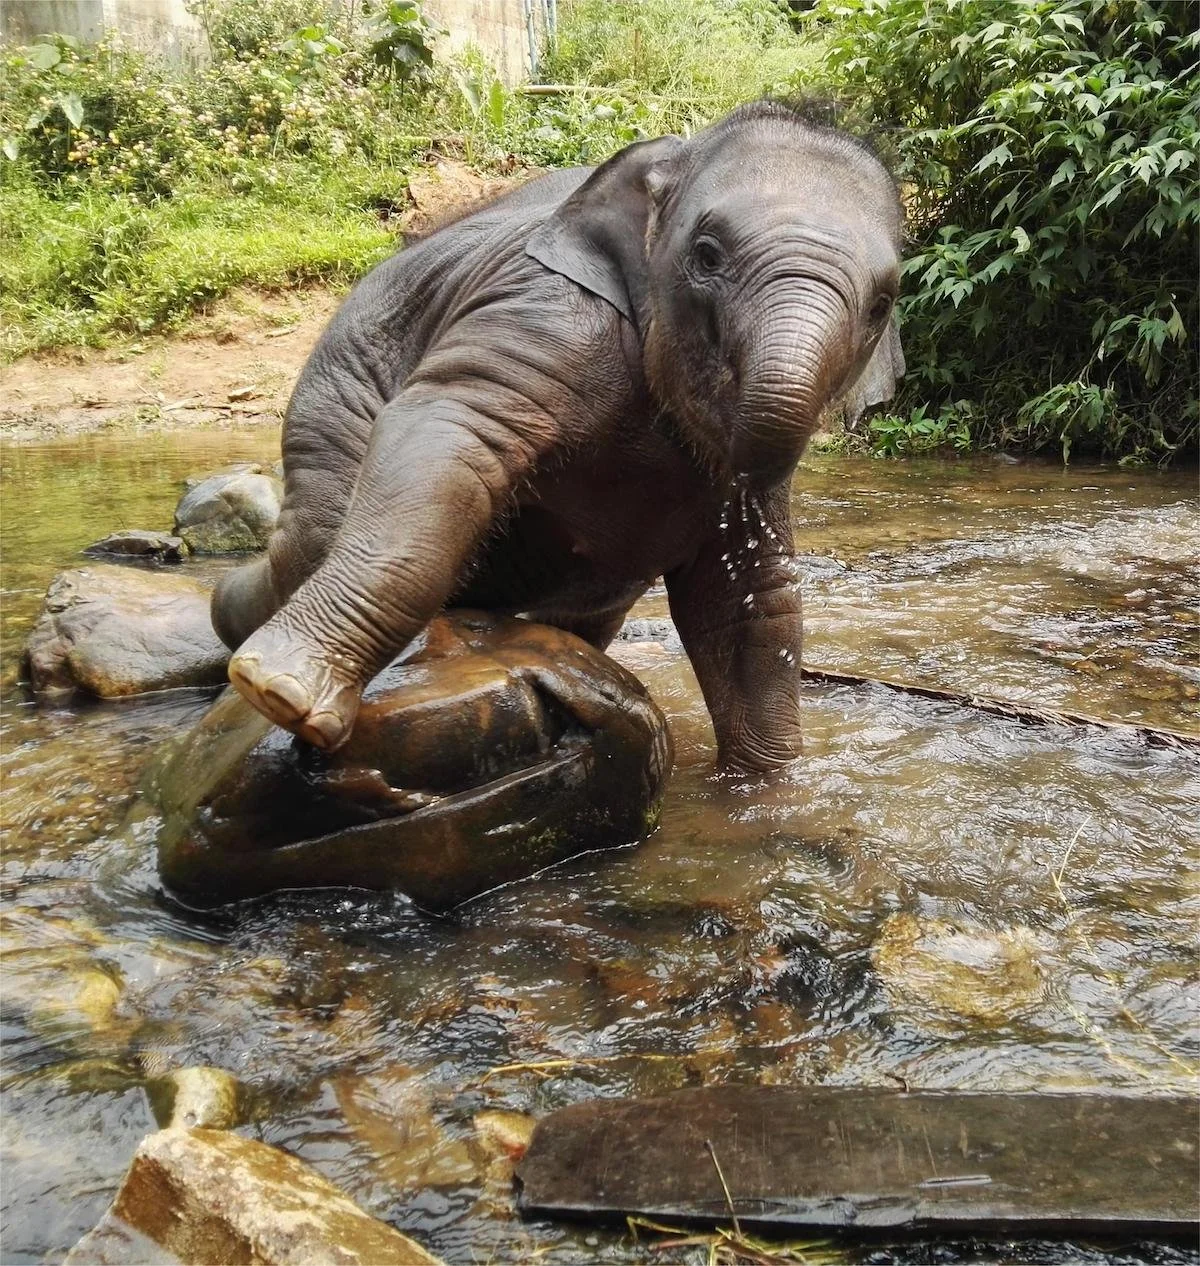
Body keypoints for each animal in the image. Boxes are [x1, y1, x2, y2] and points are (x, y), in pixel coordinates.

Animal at [212, 100, 904, 772]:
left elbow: (744, 599)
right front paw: (281, 694)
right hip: (332, 401)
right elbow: (447, 435)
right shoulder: (548, 312)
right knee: (309, 542)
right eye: (707, 255)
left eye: (882, 304)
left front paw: (771, 788)